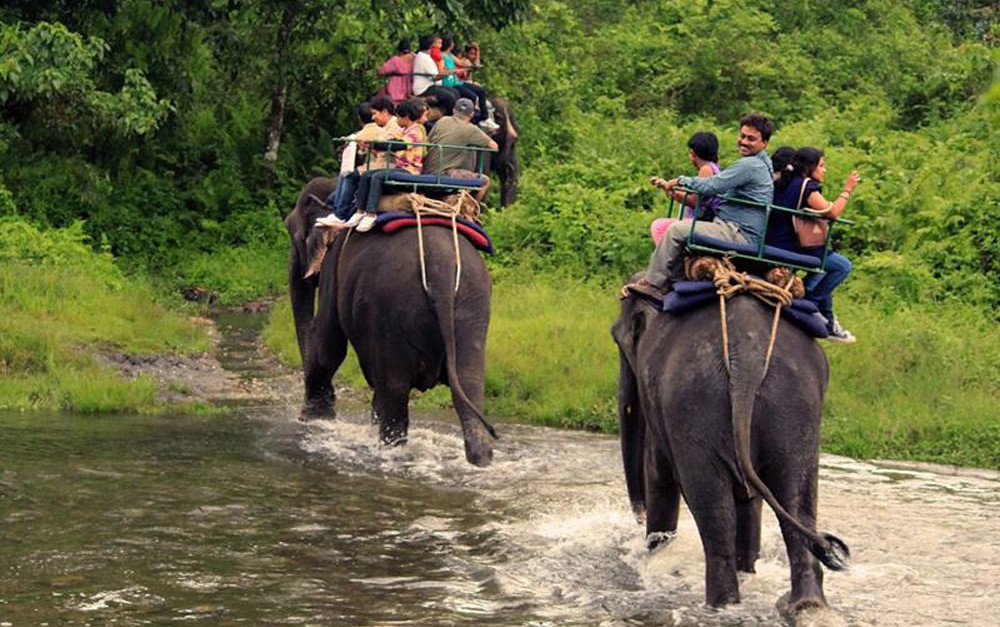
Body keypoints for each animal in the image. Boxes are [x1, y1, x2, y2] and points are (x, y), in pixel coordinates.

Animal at [286, 177, 496, 466]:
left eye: (291, 232)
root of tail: (441, 271)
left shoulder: (333, 267)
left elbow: (328, 344)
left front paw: (314, 420)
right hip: (472, 307)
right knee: (469, 386)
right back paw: (480, 459)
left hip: (392, 309)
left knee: (393, 390)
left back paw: (390, 451)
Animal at [612, 294, 848, 612]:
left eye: (617, 338)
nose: (638, 515)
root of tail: (746, 362)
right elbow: (750, 499)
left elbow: (659, 477)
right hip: (797, 408)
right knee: (797, 502)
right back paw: (805, 605)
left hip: (693, 409)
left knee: (714, 516)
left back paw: (721, 605)